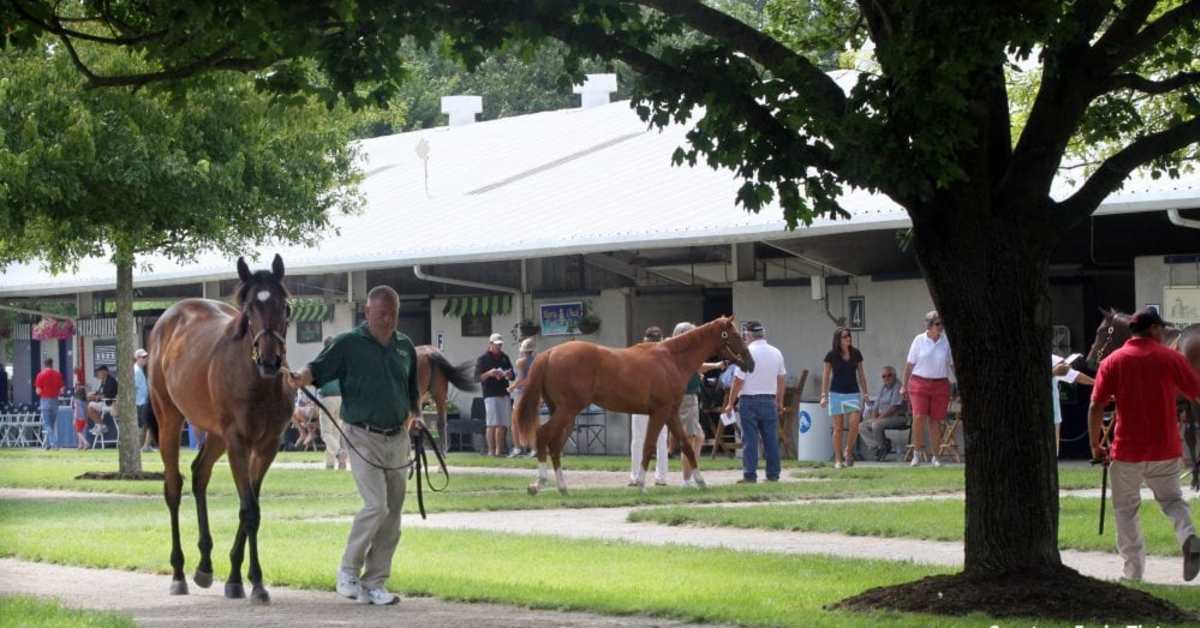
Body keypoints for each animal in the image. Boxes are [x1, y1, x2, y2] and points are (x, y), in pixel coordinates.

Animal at [148, 255, 294, 605]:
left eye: (285, 307)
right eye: (249, 308)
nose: (270, 360)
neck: (257, 381)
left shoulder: (267, 445)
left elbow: (250, 506)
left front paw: (236, 578)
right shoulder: (238, 441)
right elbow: (250, 509)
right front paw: (255, 582)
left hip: (215, 435)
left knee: (200, 473)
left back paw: (204, 566)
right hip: (170, 419)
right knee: (173, 487)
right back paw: (178, 573)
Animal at [513, 317, 748, 494]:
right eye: (735, 335)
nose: (750, 362)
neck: (671, 359)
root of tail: (550, 353)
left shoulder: (670, 413)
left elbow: (686, 446)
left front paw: (701, 481)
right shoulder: (660, 412)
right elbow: (648, 446)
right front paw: (642, 484)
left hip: (565, 414)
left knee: (554, 445)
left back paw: (560, 487)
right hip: (567, 411)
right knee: (543, 435)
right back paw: (540, 483)